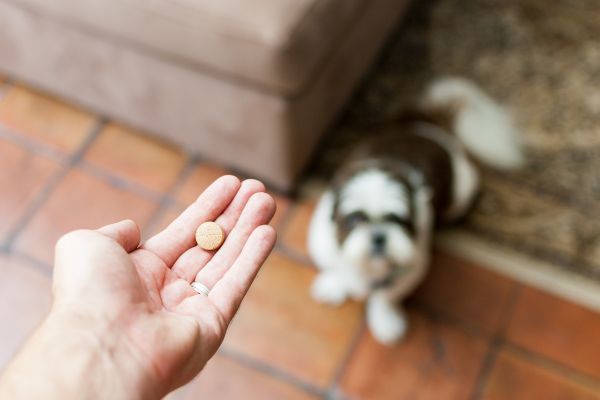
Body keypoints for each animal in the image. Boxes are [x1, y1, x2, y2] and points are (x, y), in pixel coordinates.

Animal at [308, 78, 524, 344]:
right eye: (356, 219)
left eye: (398, 220)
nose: (378, 236)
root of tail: (428, 124)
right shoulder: (322, 242)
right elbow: (337, 266)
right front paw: (335, 283)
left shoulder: (412, 266)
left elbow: (388, 294)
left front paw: (385, 318)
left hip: (462, 191)